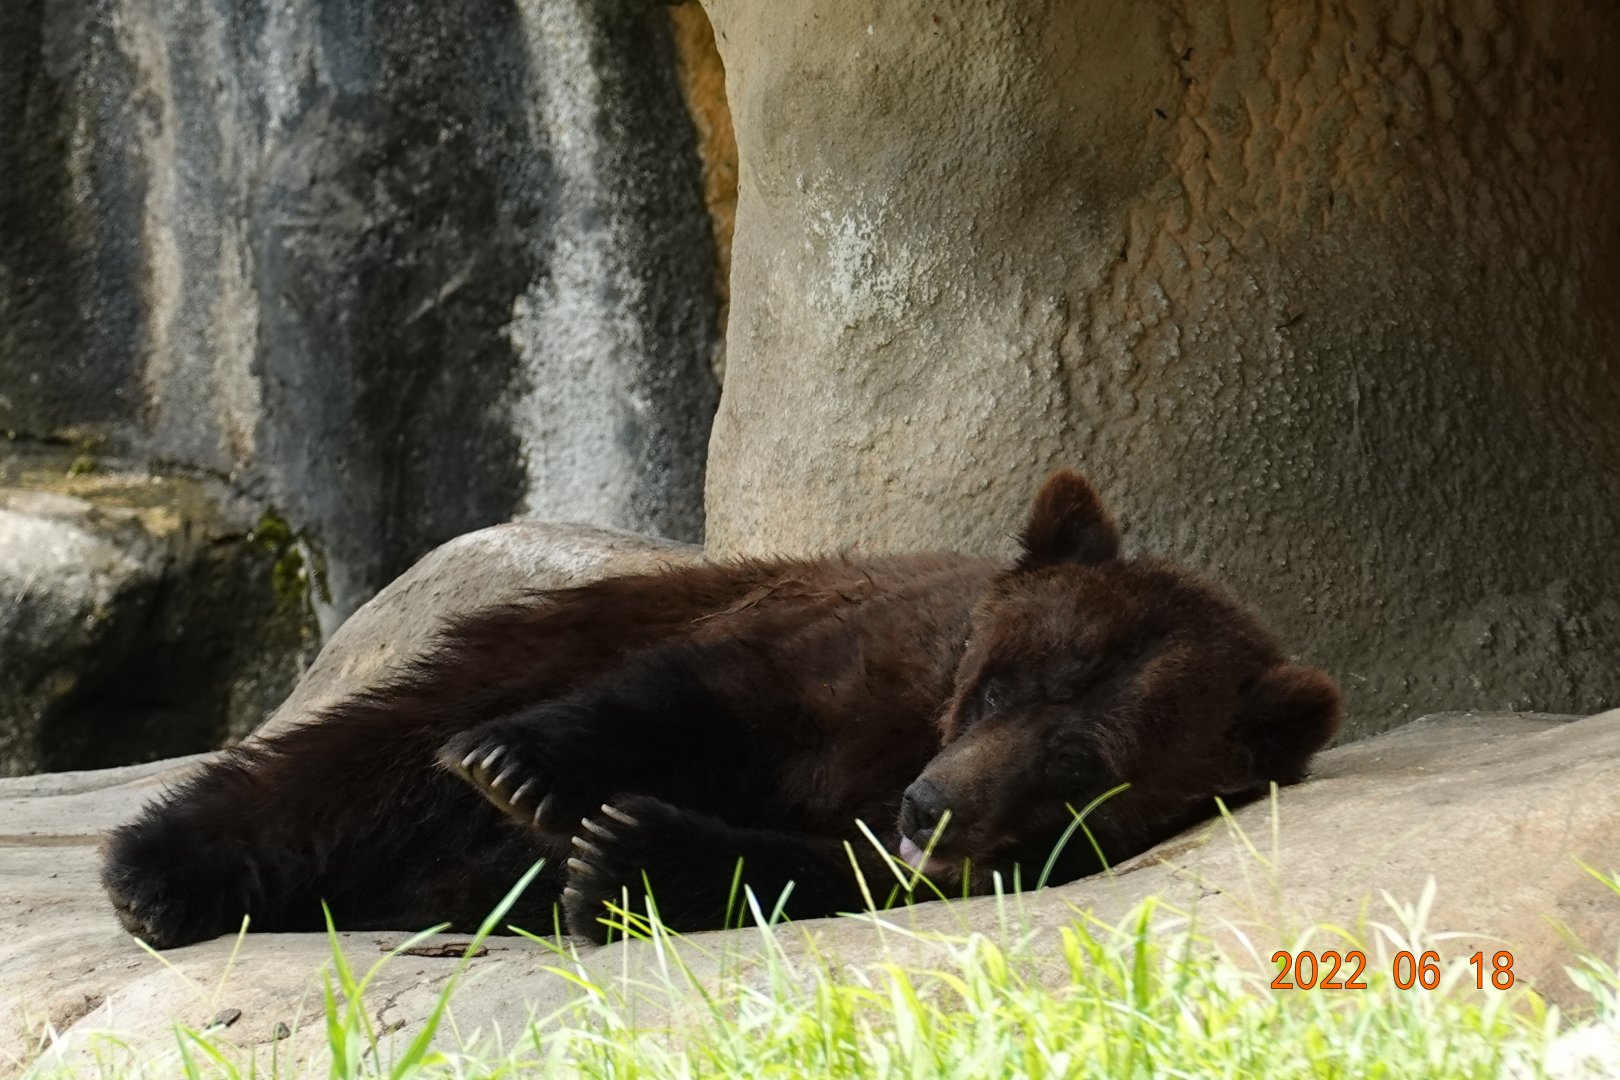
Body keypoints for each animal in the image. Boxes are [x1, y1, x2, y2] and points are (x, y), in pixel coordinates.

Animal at [101, 469, 1341, 948]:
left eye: (1089, 769)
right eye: (999, 679)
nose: (931, 808)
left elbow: (826, 869)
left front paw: (620, 855)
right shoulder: (856, 657)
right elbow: (703, 696)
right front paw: (526, 772)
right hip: (542, 629)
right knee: (365, 761)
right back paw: (157, 870)